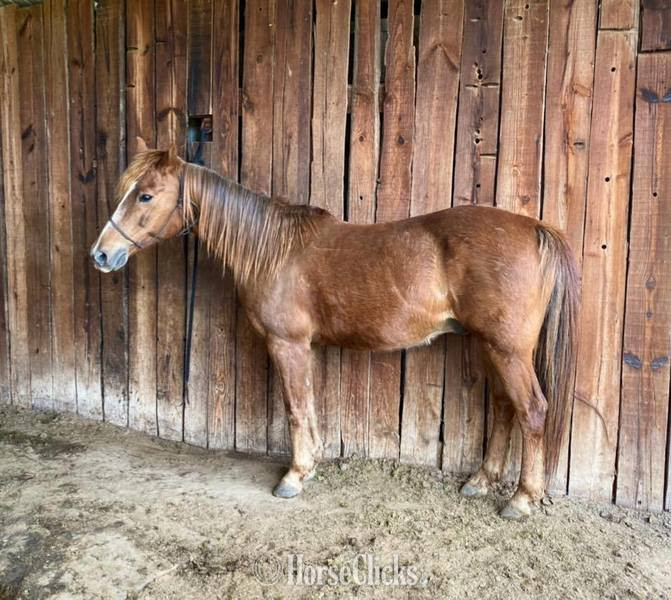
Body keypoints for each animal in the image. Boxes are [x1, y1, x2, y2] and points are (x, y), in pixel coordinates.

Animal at [91, 139, 580, 520]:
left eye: (146, 196)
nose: (101, 254)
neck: (274, 251)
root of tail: (536, 228)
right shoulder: (302, 347)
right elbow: (308, 404)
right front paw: (312, 463)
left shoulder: (286, 344)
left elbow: (294, 407)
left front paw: (294, 475)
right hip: (492, 346)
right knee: (505, 408)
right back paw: (480, 480)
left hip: (508, 350)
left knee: (532, 411)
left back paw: (521, 499)